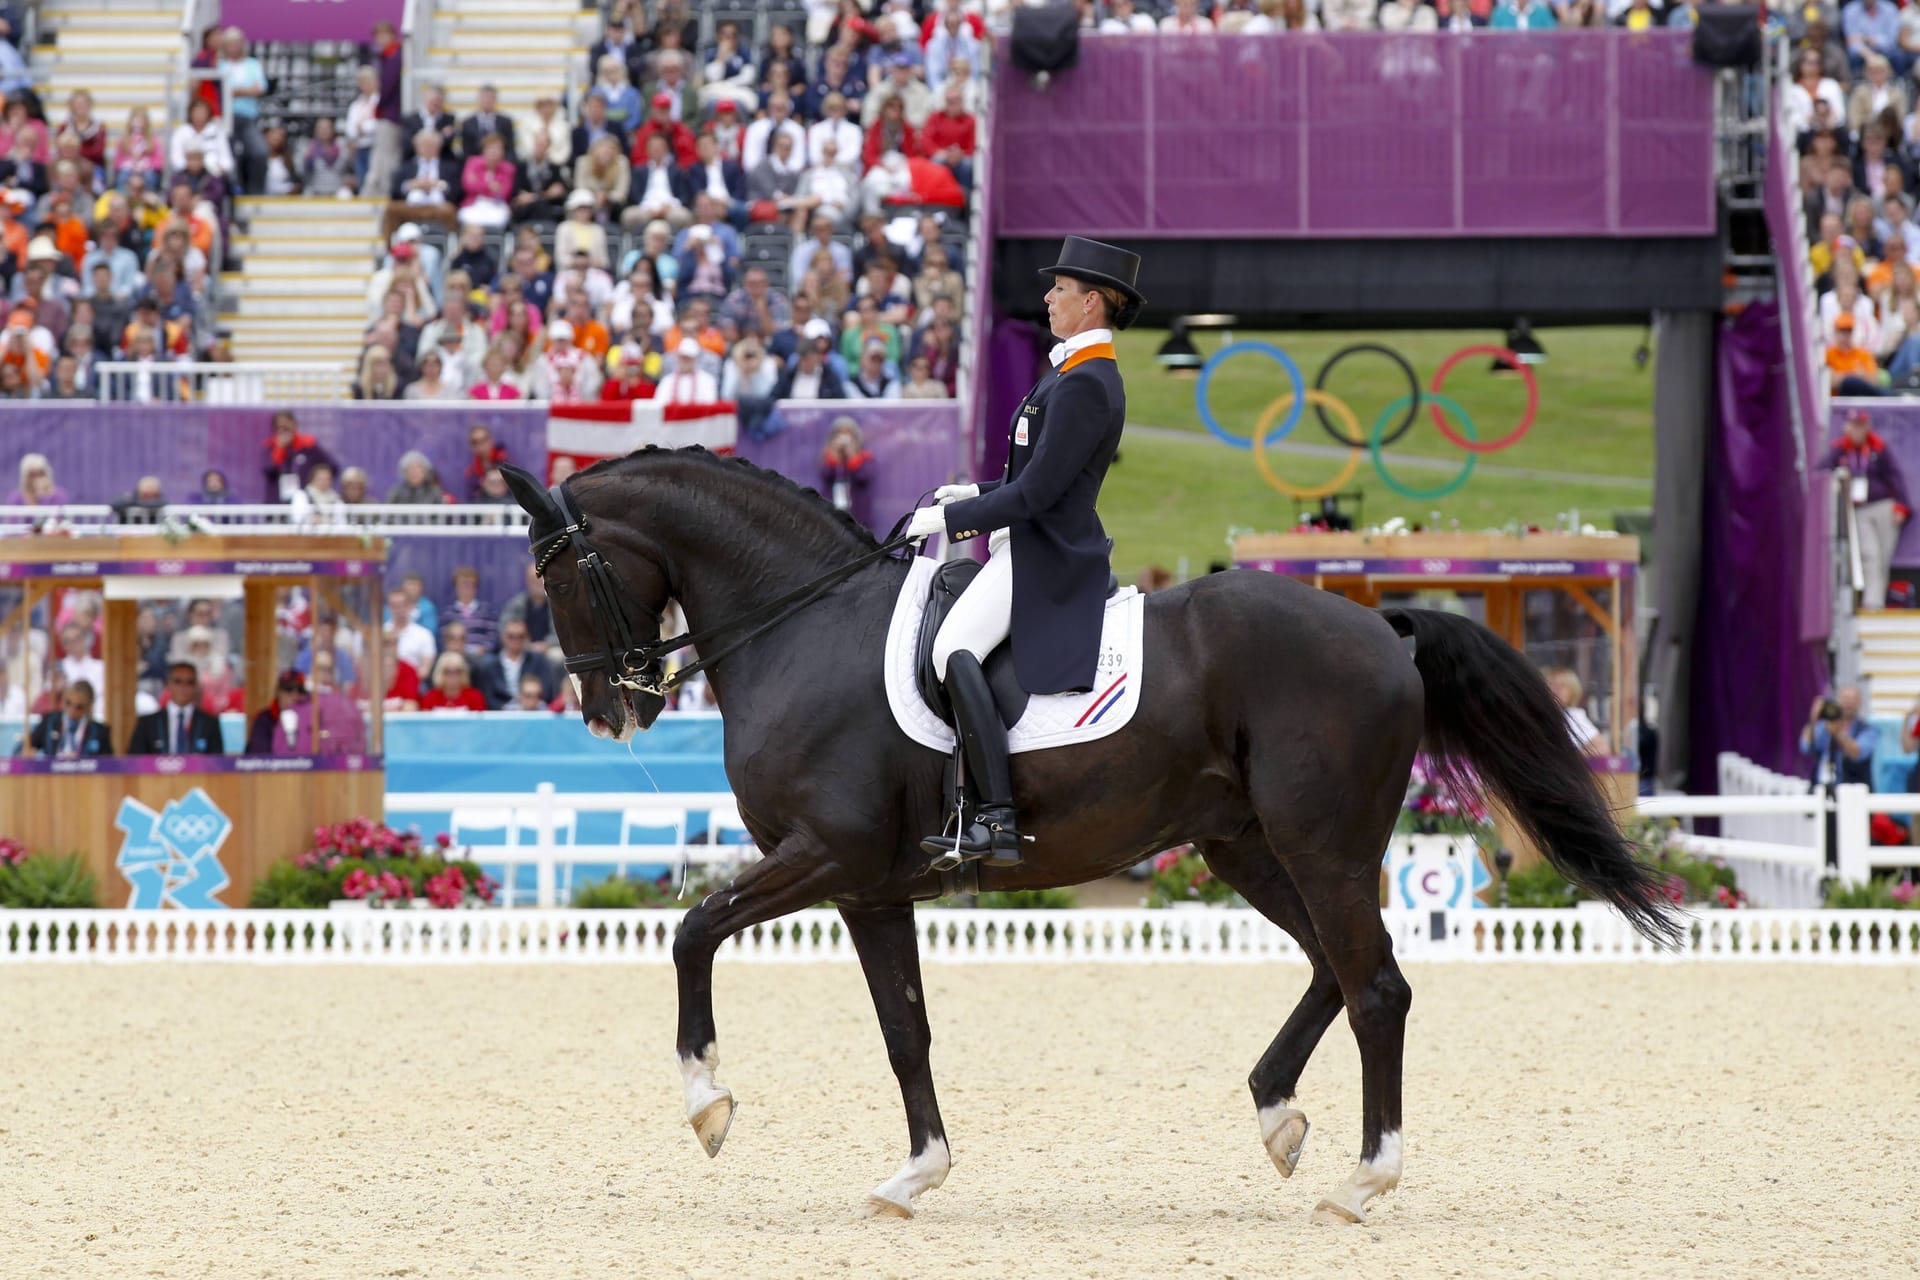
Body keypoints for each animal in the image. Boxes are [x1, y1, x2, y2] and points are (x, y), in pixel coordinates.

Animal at [495, 449, 1681, 1220]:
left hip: (1322, 843)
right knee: (1334, 971)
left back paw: (1365, 1178)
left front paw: (709, 1104)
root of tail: (1382, 627)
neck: (803, 625)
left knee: (1375, 985)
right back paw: (1278, 1117)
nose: (607, 710)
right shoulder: (871, 887)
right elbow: (904, 1029)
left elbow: (692, 930)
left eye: (552, 573)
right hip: (1244, 845)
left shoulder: (825, 855)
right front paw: (916, 1174)